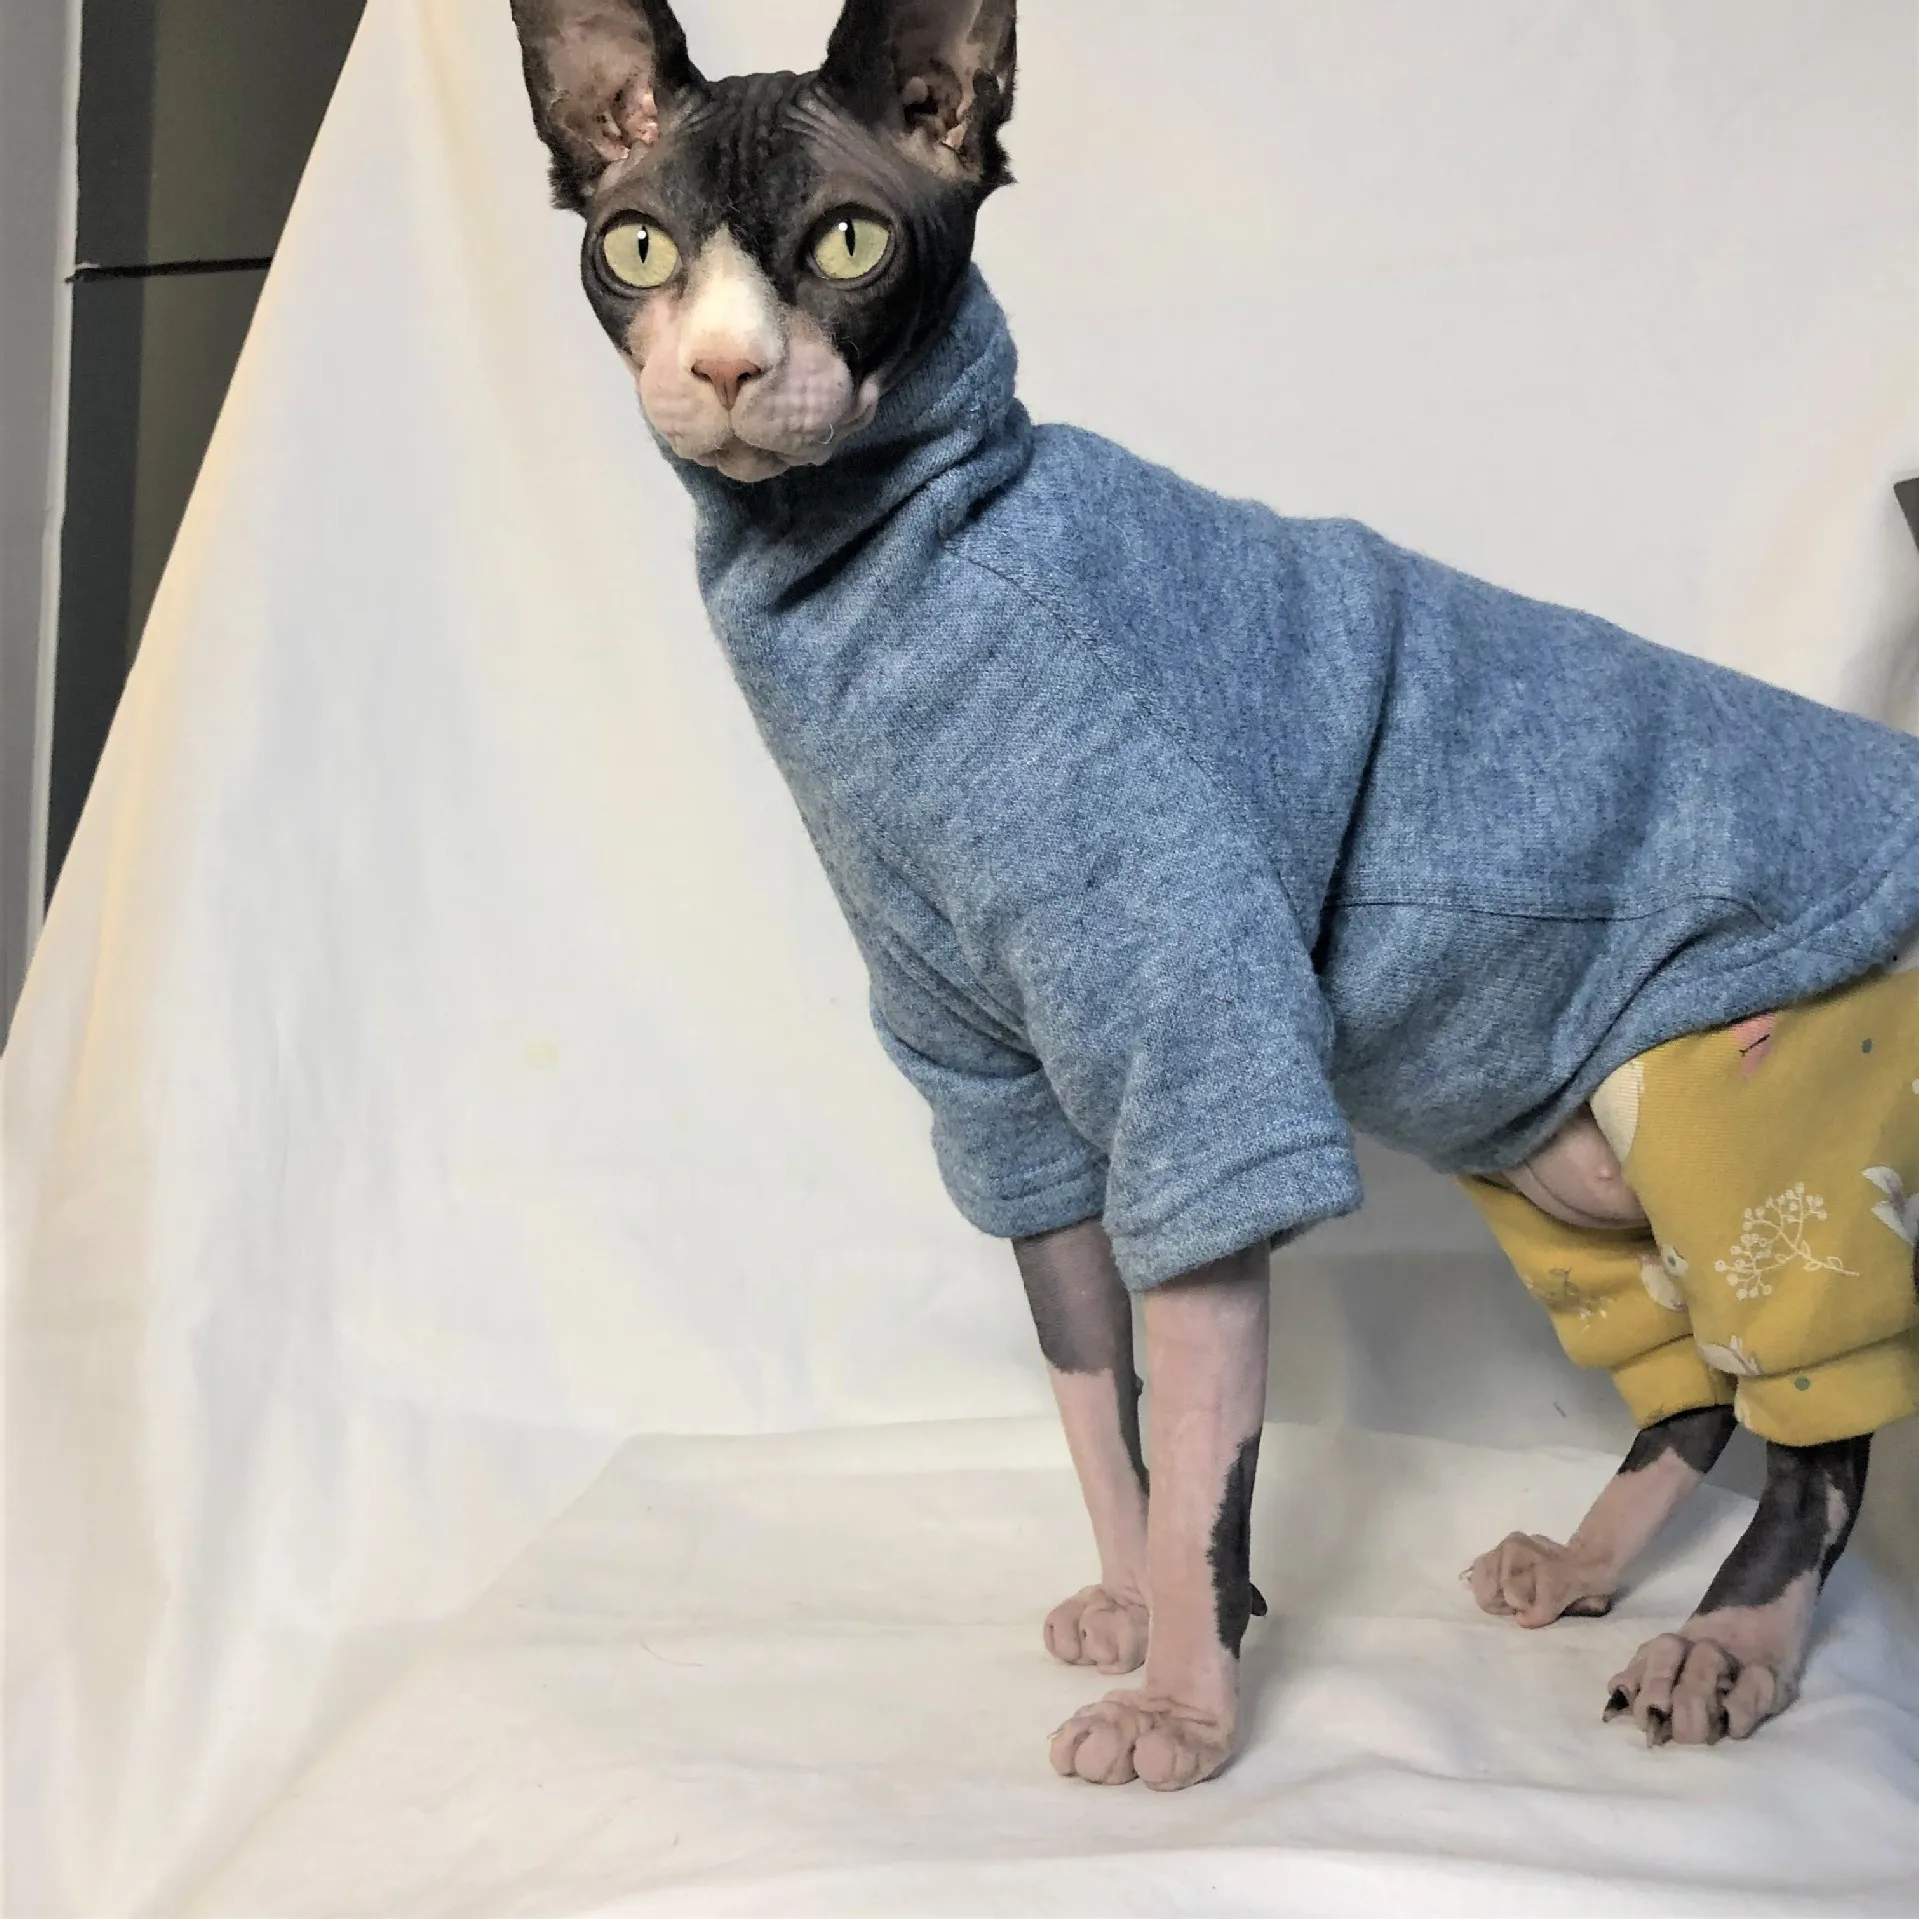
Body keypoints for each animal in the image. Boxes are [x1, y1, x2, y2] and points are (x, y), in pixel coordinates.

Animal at [507, 0, 1919, 1786]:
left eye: (846, 242)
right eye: (635, 246)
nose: (722, 367)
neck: (872, 583)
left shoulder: (1194, 1049)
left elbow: (1200, 1456)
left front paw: (1181, 1701)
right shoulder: (999, 1094)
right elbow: (1094, 1401)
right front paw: (1132, 1609)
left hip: (1743, 1124)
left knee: (1814, 1419)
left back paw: (1723, 1640)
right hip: (1566, 1174)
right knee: (1688, 1385)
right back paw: (1584, 1564)